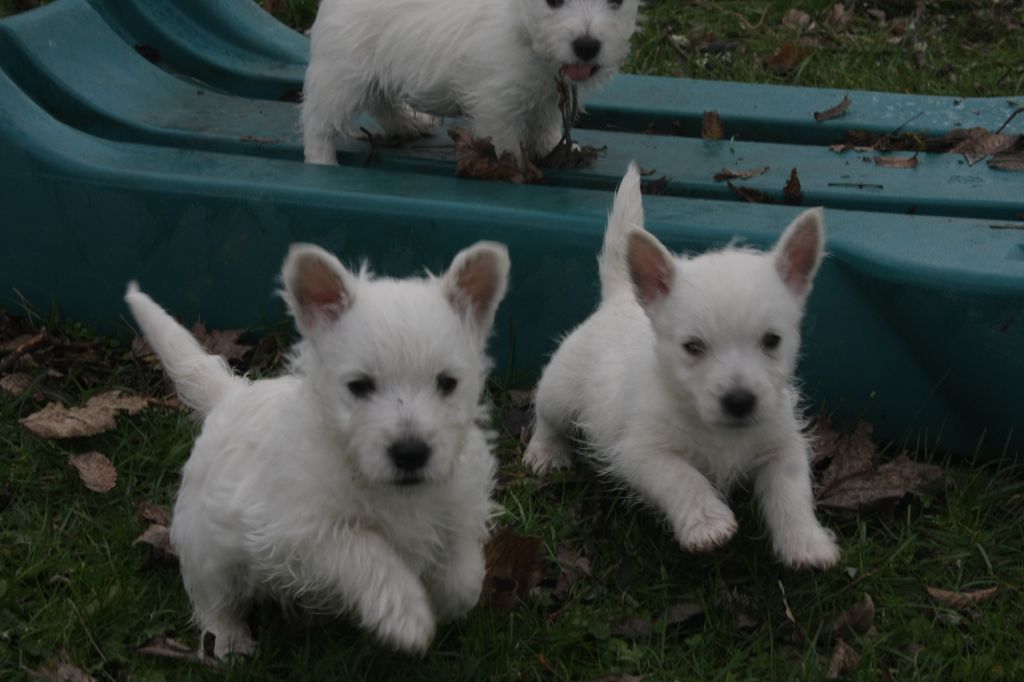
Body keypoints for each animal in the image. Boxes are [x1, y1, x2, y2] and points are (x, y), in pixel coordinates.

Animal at [125, 240, 509, 659]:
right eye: (359, 386)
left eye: (447, 383)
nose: (410, 453)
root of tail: (232, 395)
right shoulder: (301, 531)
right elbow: (366, 549)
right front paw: (405, 611)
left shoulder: (459, 503)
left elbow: (464, 573)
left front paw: (445, 598)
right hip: (208, 546)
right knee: (214, 598)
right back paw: (227, 640)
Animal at [301, 0, 638, 163]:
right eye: (554, 0)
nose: (587, 46)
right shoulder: (496, 104)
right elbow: (506, 144)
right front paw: (517, 167)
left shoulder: (552, 94)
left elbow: (546, 123)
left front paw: (555, 148)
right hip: (342, 75)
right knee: (318, 122)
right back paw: (322, 162)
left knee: (382, 100)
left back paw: (411, 123)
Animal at [524, 164, 843, 569]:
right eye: (693, 347)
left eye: (772, 341)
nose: (740, 402)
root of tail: (620, 296)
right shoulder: (641, 453)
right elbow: (682, 476)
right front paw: (708, 523)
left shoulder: (783, 444)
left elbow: (791, 489)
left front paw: (805, 541)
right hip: (561, 391)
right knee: (546, 415)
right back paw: (544, 452)